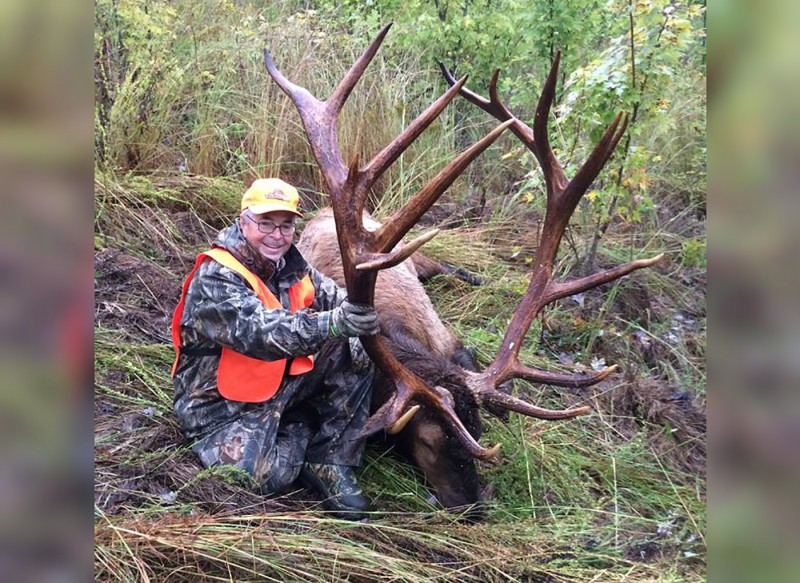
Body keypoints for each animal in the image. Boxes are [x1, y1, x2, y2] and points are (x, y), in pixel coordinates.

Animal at [264, 22, 663, 517]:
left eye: (478, 433)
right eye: (428, 441)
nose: (471, 504)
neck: (396, 338)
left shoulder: (448, 339)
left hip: (417, 257)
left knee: (443, 265)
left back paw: (476, 276)